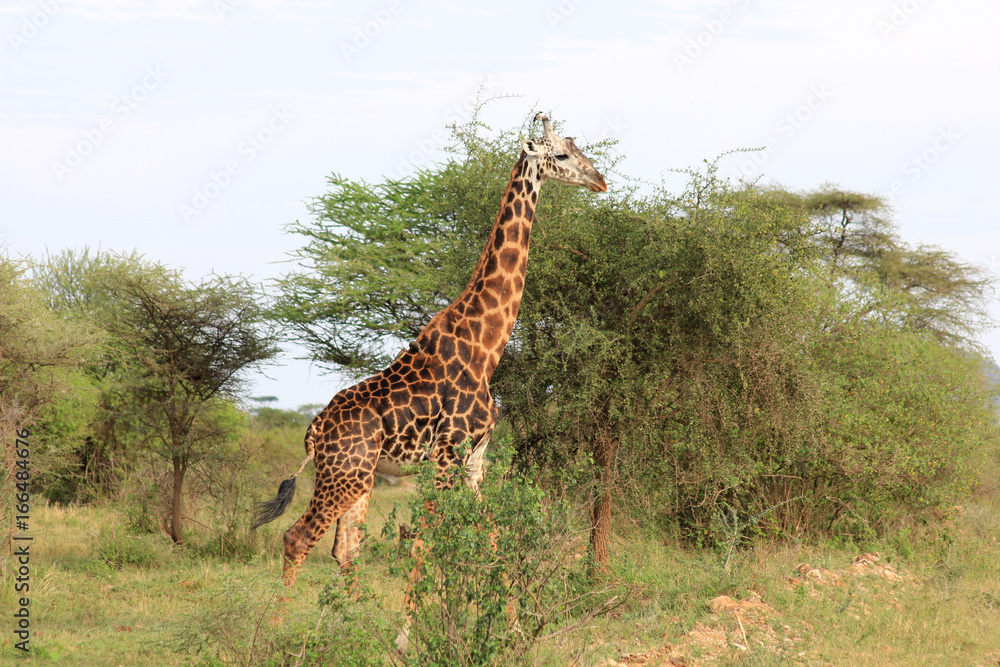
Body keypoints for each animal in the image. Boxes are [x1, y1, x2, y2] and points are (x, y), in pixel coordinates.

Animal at [253, 113, 607, 586]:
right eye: (563, 155)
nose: (599, 180)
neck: (486, 346)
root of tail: (313, 430)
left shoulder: (475, 461)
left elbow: (491, 537)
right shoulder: (446, 455)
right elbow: (425, 541)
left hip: (360, 477)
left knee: (345, 549)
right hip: (344, 474)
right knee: (298, 538)